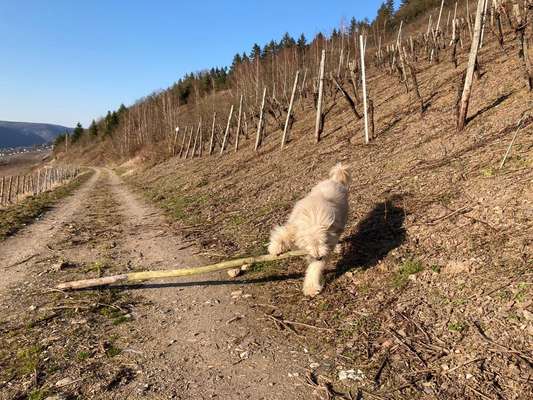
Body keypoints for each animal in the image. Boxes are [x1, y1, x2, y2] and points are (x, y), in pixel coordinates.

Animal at [266, 163, 350, 296]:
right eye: (308, 243)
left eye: (324, 242)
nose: (318, 257)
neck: (314, 219)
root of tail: (335, 180)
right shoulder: (295, 226)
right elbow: (283, 233)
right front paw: (276, 247)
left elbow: (315, 266)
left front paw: (311, 287)